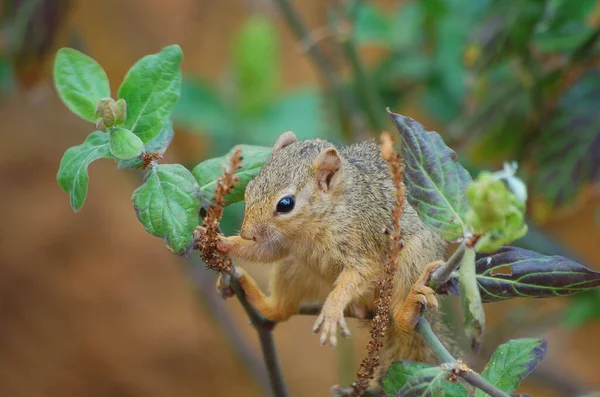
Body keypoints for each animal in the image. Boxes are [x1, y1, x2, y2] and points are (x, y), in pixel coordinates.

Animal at [211, 131, 450, 384]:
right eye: (249, 189)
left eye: (286, 204)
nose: (247, 233)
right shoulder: (282, 244)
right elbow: (265, 251)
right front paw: (220, 241)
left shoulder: (362, 239)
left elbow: (361, 271)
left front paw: (332, 310)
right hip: (293, 268)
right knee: (281, 310)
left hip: (413, 258)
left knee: (400, 317)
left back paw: (410, 309)